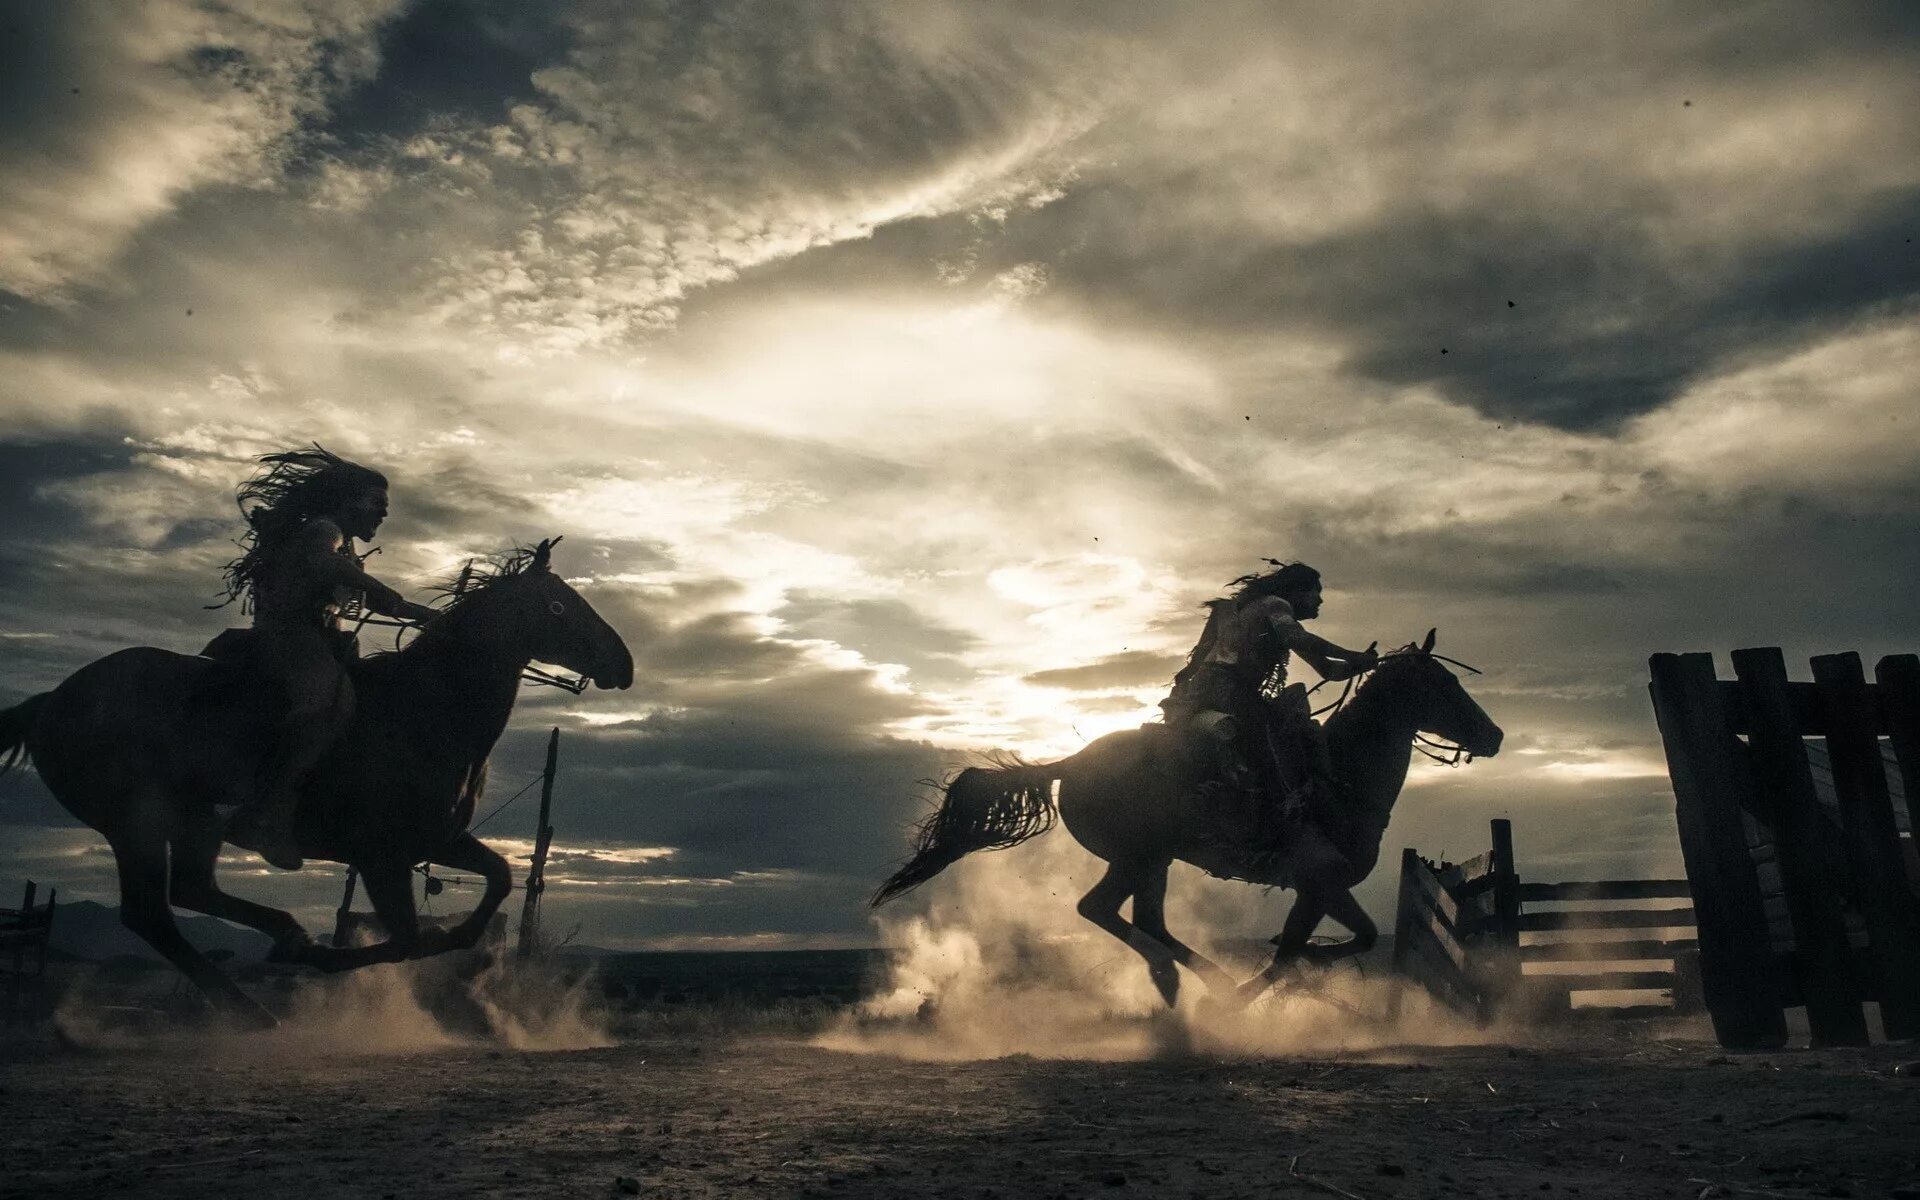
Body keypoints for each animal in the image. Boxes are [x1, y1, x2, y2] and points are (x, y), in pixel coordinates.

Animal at [0, 537, 633, 1021]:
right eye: (559, 606)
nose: (624, 664)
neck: (422, 710)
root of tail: (50, 702)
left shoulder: (439, 840)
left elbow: (498, 880)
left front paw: (461, 951)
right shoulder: (381, 856)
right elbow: (408, 939)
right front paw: (333, 958)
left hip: (187, 824)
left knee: (183, 898)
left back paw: (267, 976)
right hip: (138, 826)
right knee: (155, 913)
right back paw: (267, 984)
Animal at [879, 633, 1505, 1006]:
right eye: (1445, 685)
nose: (1495, 736)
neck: (1338, 777)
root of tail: (1071, 763)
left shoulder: (1313, 890)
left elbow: (1307, 945)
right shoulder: (1321, 881)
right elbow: (1325, 945)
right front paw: (1261, 989)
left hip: (1153, 862)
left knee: (1144, 920)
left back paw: (1188, 980)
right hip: (1138, 856)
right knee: (1101, 910)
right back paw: (1185, 979)